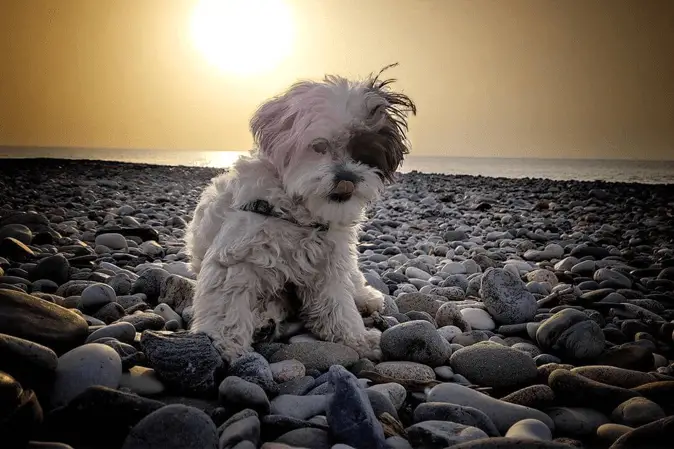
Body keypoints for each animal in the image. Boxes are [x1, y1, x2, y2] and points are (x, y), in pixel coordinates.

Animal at [185, 65, 414, 362]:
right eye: (319, 146)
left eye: (364, 152)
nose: (347, 179)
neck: (298, 216)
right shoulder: (238, 255)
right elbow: (227, 305)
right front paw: (222, 345)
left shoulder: (329, 262)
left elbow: (338, 303)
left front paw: (355, 338)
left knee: (353, 279)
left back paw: (365, 297)